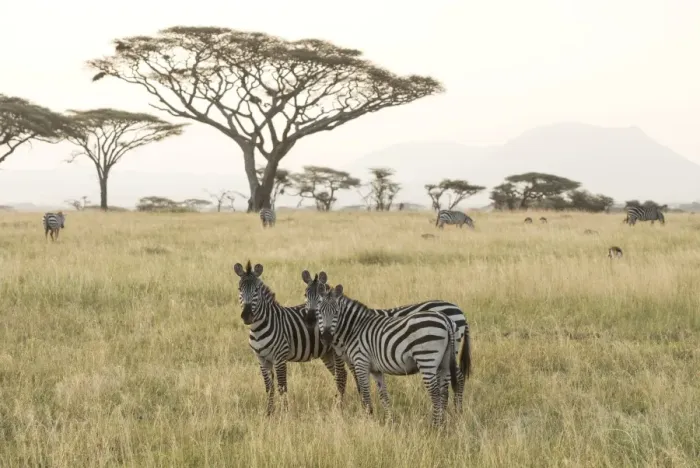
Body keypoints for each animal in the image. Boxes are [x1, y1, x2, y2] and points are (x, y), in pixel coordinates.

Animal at [233, 261, 348, 415]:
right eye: (239, 289)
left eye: (256, 290)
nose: (247, 316)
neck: (258, 328)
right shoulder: (261, 359)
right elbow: (269, 387)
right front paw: (269, 412)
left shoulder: (279, 358)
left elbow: (282, 387)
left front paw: (285, 412)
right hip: (327, 353)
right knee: (337, 375)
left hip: (336, 351)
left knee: (341, 375)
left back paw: (341, 407)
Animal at [301, 270, 470, 413]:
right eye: (305, 294)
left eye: (335, 312)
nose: (309, 320)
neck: (352, 327)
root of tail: (455, 310)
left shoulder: (353, 358)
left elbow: (355, 383)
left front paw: (364, 411)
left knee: (454, 381)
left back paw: (454, 412)